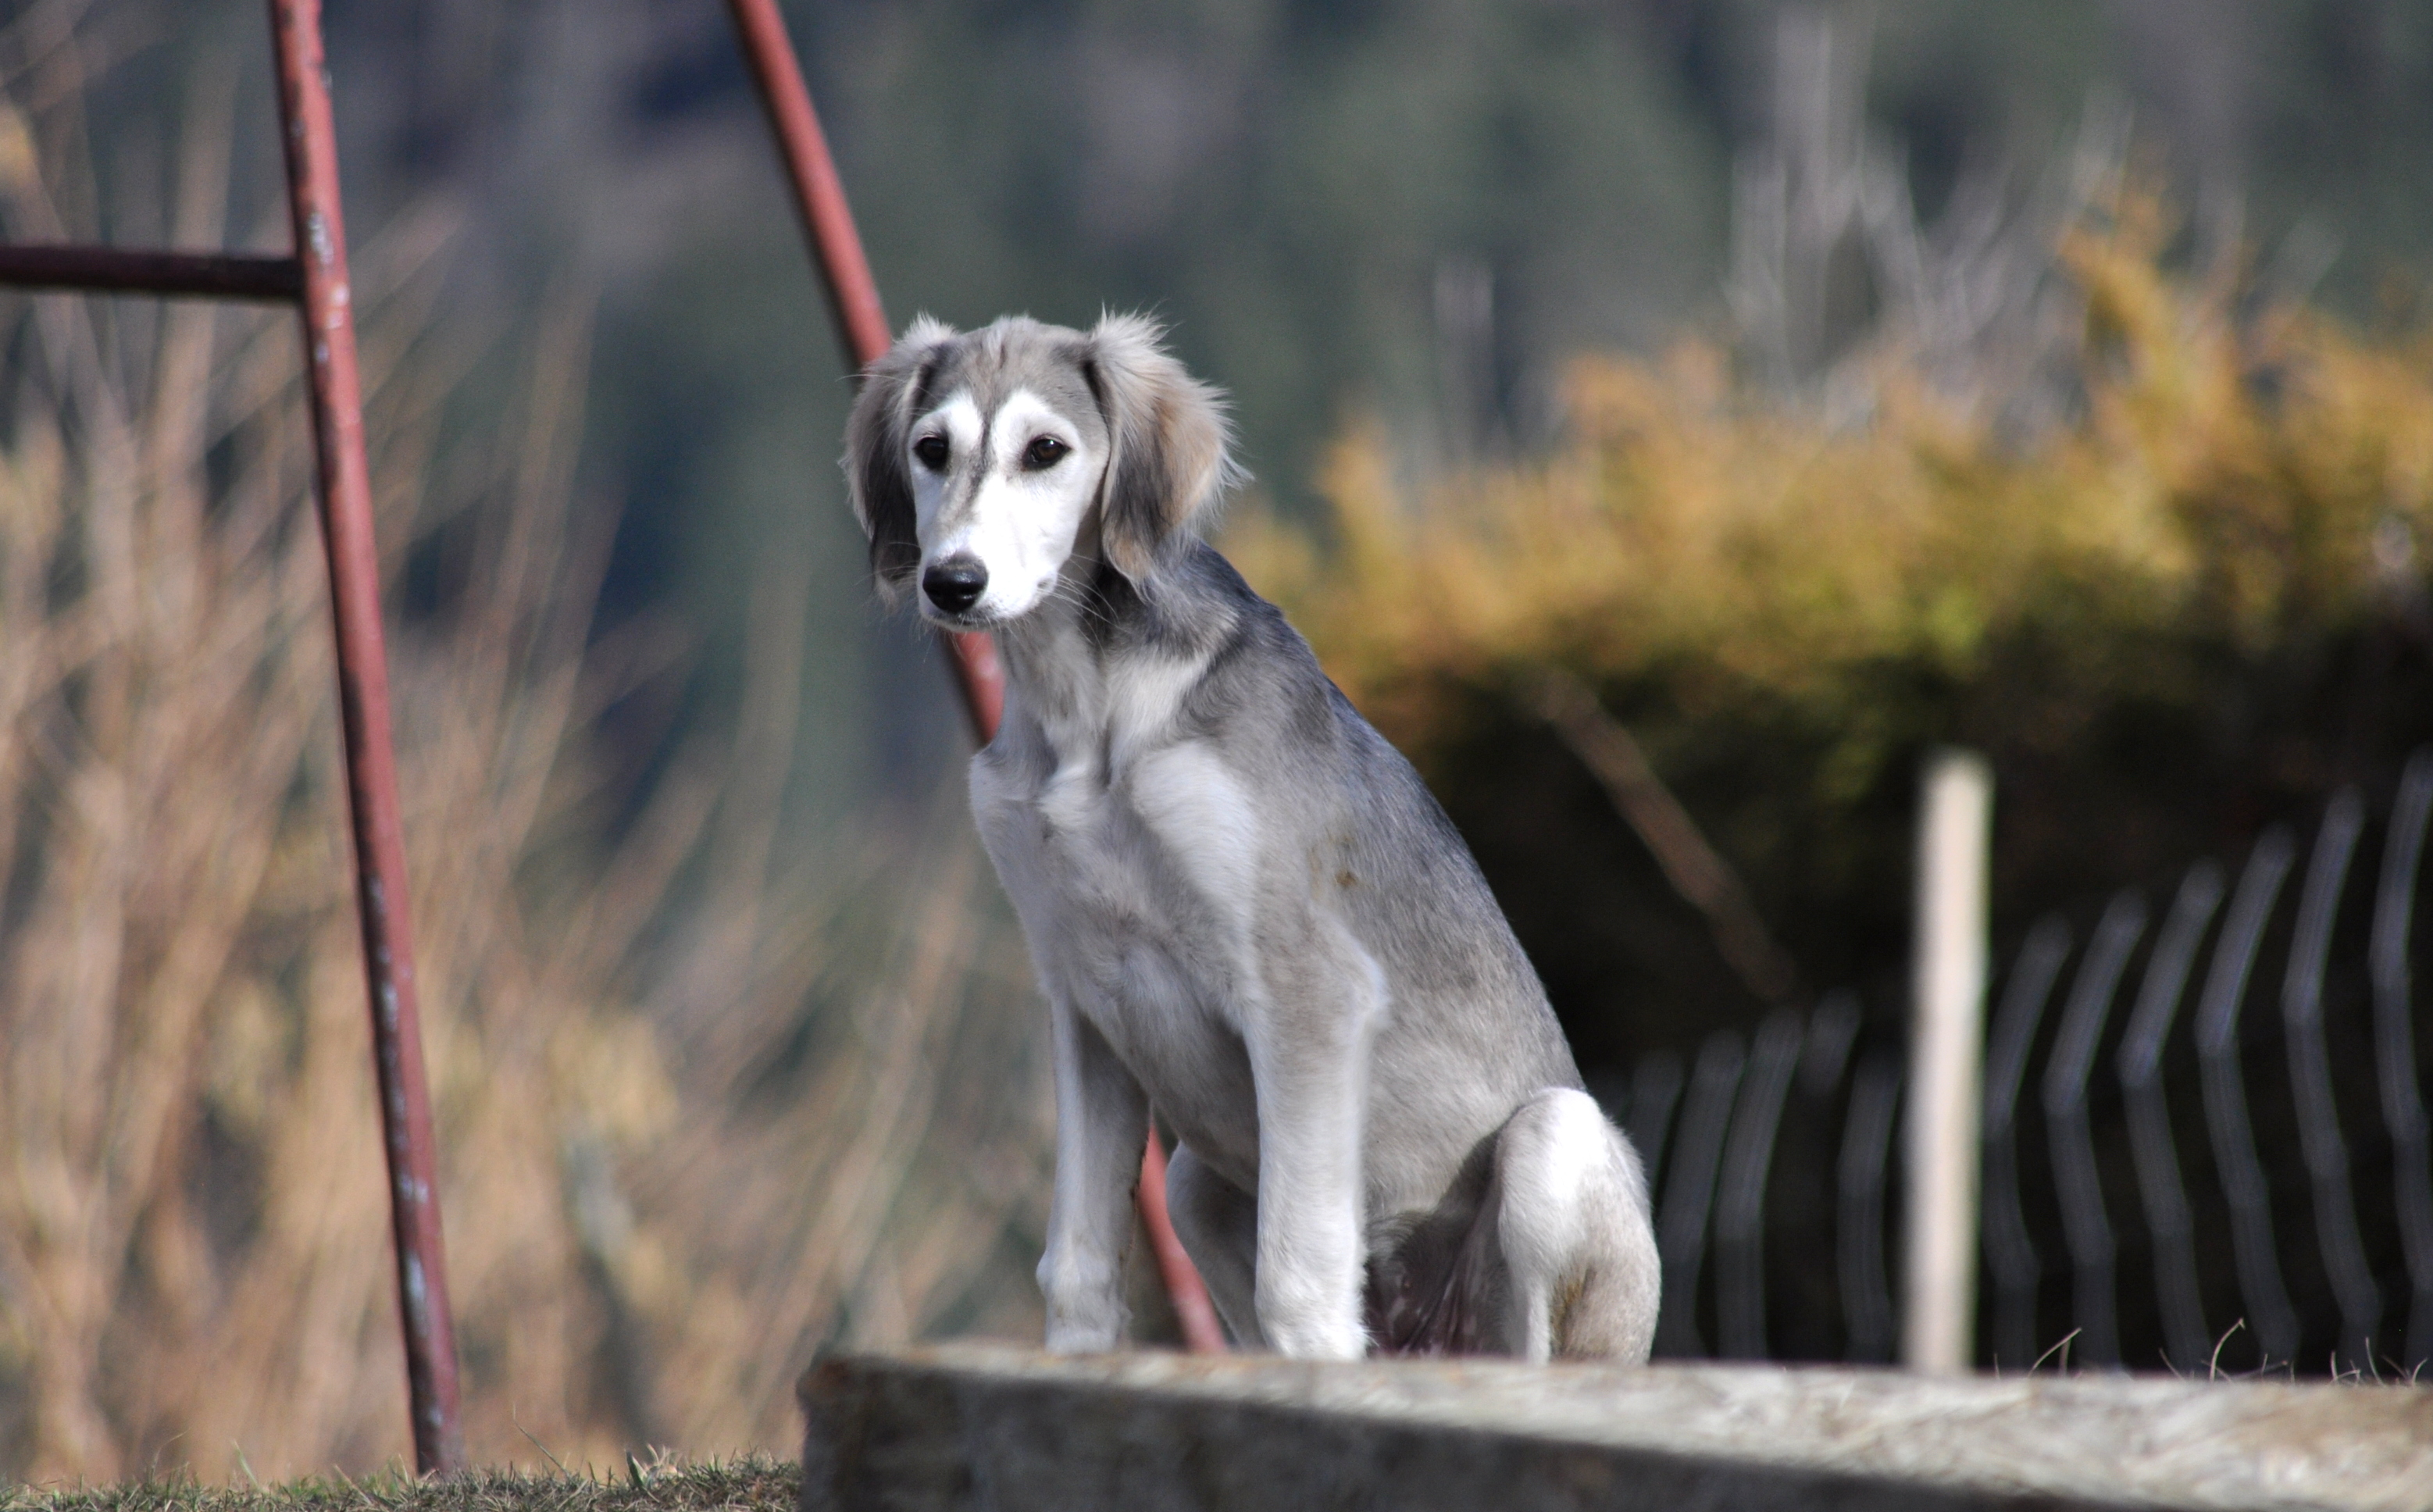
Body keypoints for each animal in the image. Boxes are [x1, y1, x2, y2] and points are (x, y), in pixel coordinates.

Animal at [847, 313, 1664, 1371]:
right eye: (931, 449)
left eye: (1046, 452)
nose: (952, 584)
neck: (1088, 714)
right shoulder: (1082, 1000)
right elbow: (1077, 1267)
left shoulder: (1306, 987)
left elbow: (1299, 1278)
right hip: (1195, 1177)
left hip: (1552, 1147)